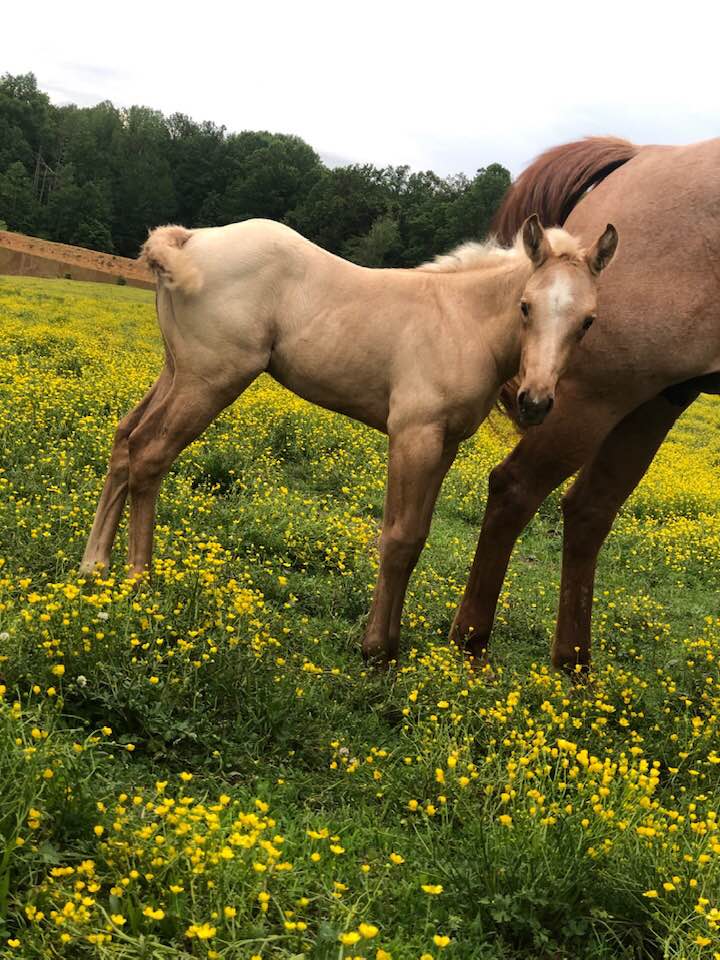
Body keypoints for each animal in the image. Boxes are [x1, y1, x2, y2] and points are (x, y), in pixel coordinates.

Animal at [80, 215, 620, 660]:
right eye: (526, 307)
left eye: (588, 321)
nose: (535, 402)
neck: (461, 321)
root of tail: (192, 238)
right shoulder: (414, 435)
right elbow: (400, 538)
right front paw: (377, 650)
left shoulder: (444, 445)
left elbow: (416, 537)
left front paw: (389, 645)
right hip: (209, 380)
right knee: (151, 454)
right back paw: (140, 581)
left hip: (177, 371)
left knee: (125, 440)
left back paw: (95, 566)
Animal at [450, 135, 720, 676]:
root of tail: (641, 154)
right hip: (601, 394)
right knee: (517, 488)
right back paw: (470, 644)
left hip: (652, 399)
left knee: (588, 510)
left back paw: (573, 667)